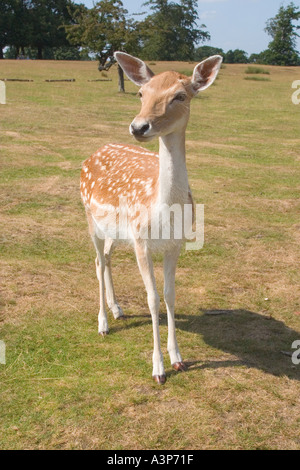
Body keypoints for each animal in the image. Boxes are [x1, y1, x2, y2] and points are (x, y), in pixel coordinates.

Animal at [80, 53, 223, 384]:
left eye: (180, 96)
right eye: (141, 93)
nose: (138, 126)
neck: (163, 212)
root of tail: (94, 153)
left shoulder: (175, 244)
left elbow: (170, 295)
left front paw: (178, 359)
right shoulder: (141, 242)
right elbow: (152, 299)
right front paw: (158, 369)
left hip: (116, 231)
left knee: (106, 258)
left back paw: (117, 308)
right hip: (90, 219)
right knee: (97, 260)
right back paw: (103, 323)